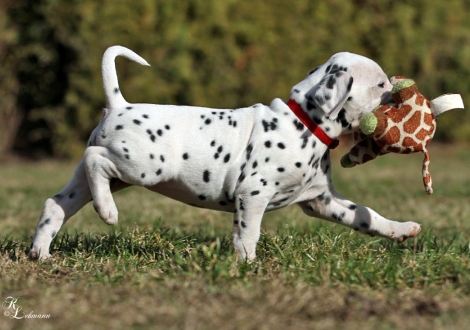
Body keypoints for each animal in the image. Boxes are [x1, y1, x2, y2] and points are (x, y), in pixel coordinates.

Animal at [27, 45, 420, 260]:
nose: (401, 93)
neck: (305, 123)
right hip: (143, 166)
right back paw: (107, 211)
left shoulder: (322, 201)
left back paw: (41, 253)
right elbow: (247, 234)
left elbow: (367, 216)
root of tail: (119, 103)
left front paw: (402, 229)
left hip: (98, 180)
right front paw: (246, 265)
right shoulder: (253, 194)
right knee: (95, 159)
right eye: (380, 84)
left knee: (56, 203)